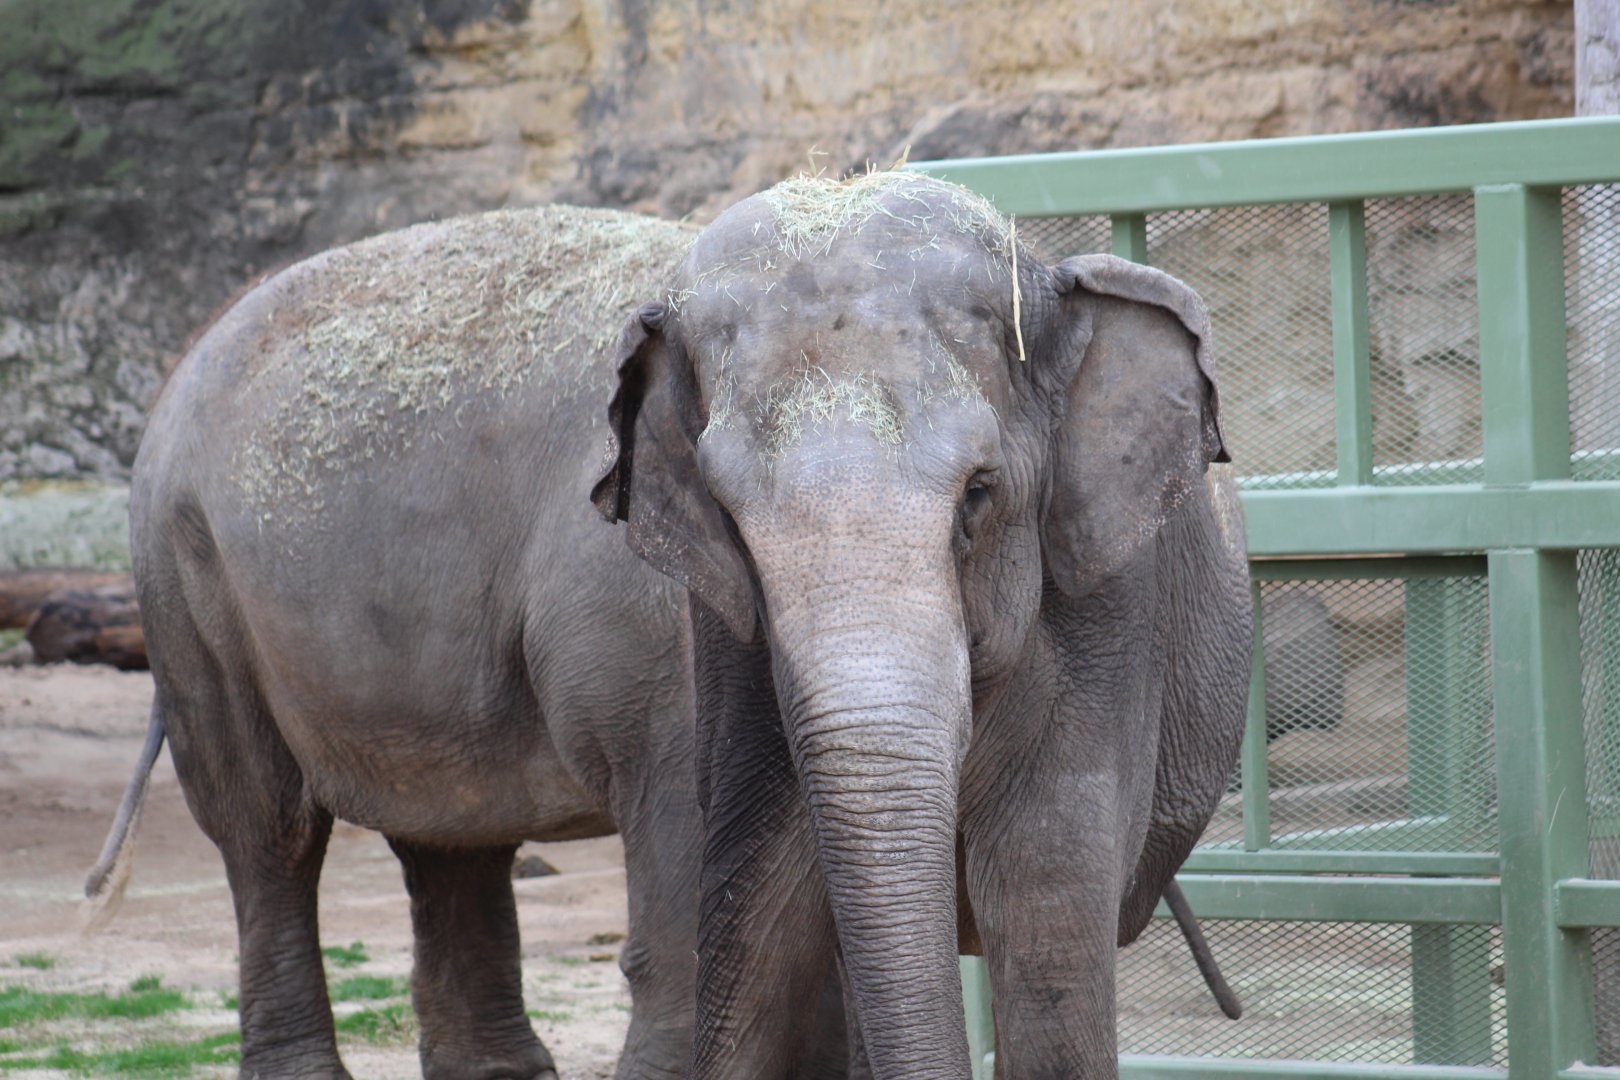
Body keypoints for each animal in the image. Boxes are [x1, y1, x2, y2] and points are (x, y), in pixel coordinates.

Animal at [591, 171, 1253, 1078]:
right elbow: (757, 932)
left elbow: (1047, 944)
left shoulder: (1111, 620)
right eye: (729, 522)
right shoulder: (732, 657)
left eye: (977, 494)